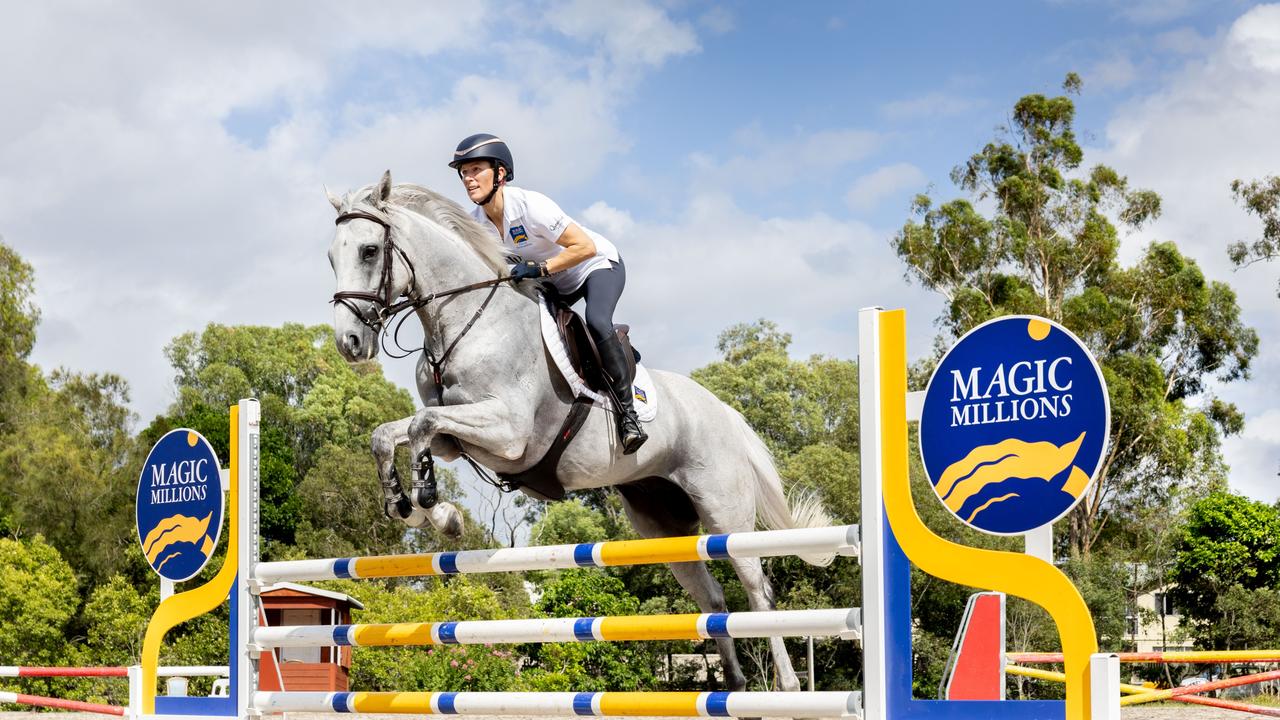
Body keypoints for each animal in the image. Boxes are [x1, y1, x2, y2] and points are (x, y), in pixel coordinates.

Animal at [325, 169, 834, 691]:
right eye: (331, 256)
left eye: (369, 251)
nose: (350, 343)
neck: (468, 323)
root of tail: (724, 411)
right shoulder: (459, 439)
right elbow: (394, 433)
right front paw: (409, 505)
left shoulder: (508, 434)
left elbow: (422, 425)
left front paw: (432, 506)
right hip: (661, 524)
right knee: (711, 599)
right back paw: (733, 687)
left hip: (723, 510)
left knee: (757, 590)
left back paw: (788, 688)